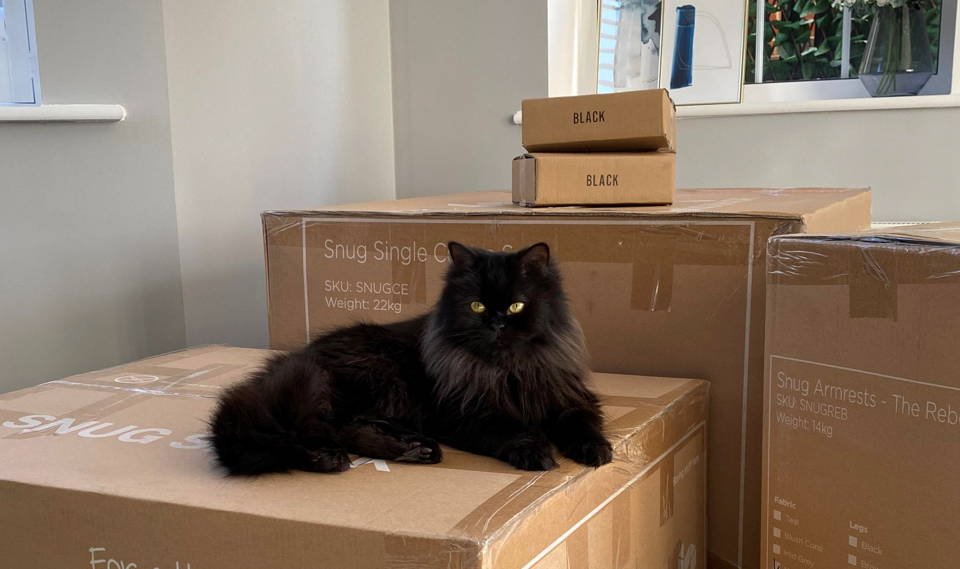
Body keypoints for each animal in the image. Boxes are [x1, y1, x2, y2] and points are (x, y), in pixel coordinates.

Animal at [212, 241, 616, 474]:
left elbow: (582, 424)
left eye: (516, 306)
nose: (497, 324)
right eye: (477, 305)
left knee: (345, 428)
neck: (507, 371)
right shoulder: (467, 412)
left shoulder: (569, 397)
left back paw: (412, 448)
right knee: (324, 428)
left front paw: (597, 450)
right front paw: (536, 452)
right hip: (371, 377)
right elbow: (513, 431)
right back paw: (338, 458)